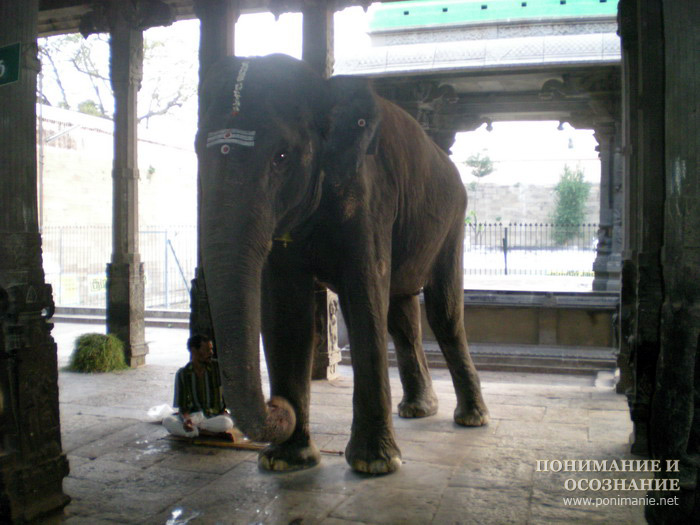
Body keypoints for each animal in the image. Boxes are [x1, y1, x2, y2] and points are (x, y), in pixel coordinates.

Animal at [197, 54, 490, 474]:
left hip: (452, 222)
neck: (322, 88)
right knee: (401, 312)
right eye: (196, 151)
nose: (278, 404)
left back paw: (471, 419)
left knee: (444, 312)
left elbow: (363, 293)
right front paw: (286, 461)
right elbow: (285, 312)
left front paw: (375, 464)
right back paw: (418, 410)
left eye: (281, 157)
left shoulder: (369, 195)